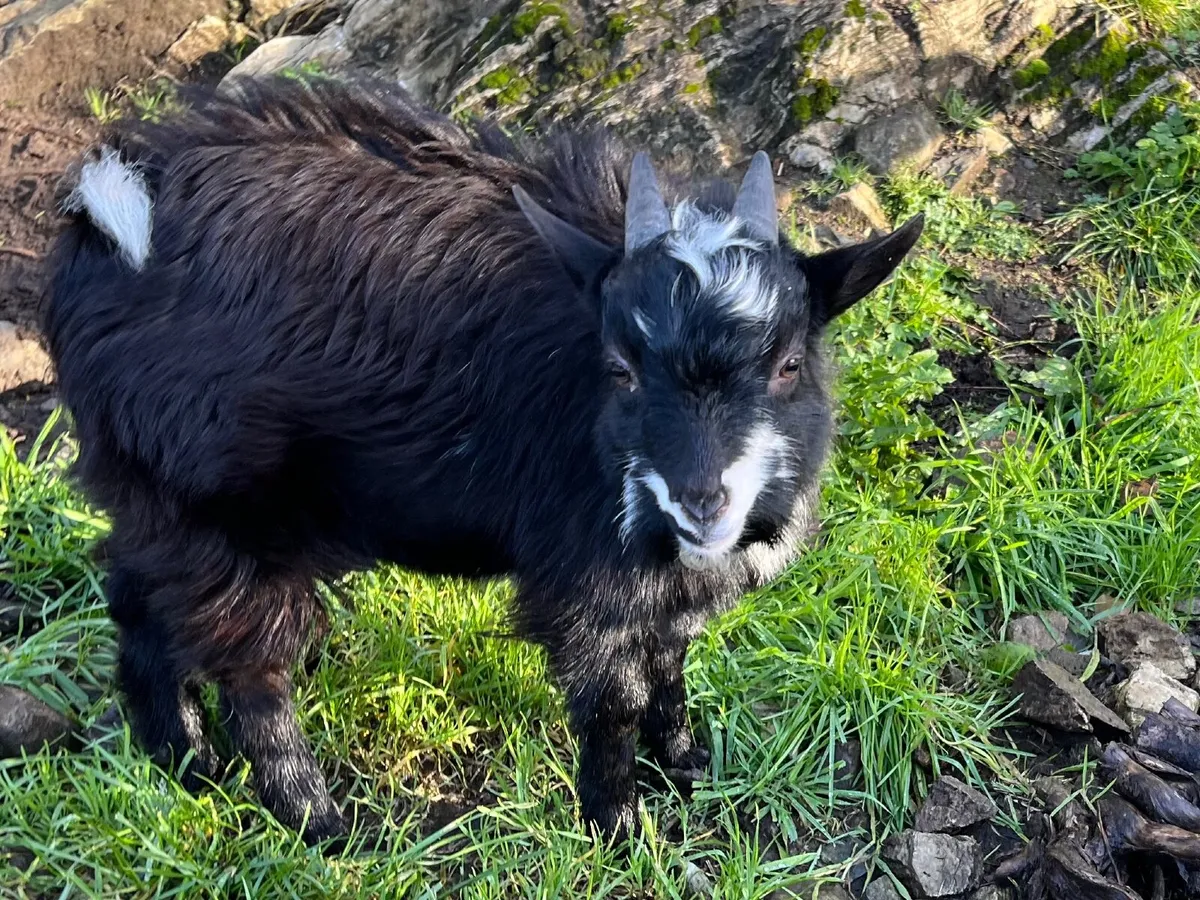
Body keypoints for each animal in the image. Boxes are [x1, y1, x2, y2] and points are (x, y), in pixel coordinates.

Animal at [44, 75, 923, 845]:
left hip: (158, 506)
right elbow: (615, 699)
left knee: (134, 596)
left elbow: (670, 663)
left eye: (788, 364)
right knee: (253, 674)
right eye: (620, 367)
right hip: (227, 521)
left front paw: (686, 764)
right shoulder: (587, 580)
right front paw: (619, 828)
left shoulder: (667, 587)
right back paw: (319, 823)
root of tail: (113, 218)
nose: (700, 501)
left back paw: (182, 759)